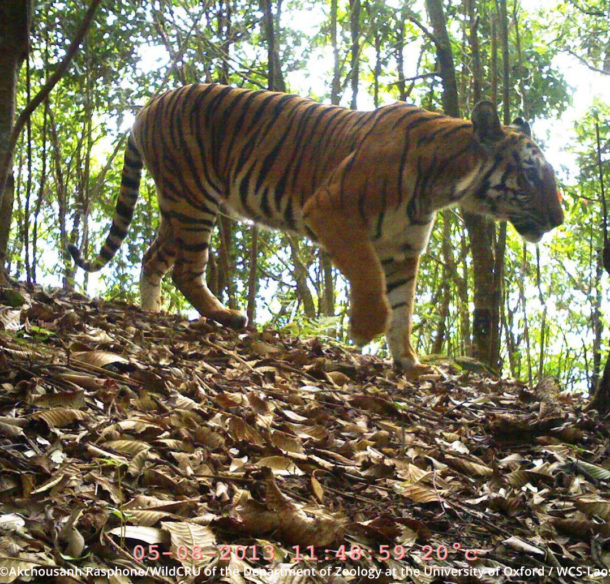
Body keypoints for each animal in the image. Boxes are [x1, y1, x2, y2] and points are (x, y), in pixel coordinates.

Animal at [67, 82, 560, 374]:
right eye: (531, 174)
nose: (558, 220)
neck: (445, 185)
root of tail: (150, 103)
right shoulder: (331, 211)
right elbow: (370, 278)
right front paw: (363, 328)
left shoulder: (404, 249)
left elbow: (404, 308)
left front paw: (409, 362)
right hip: (193, 202)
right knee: (187, 270)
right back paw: (226, 316)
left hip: (179, 207)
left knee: (153, 257)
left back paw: (152, 311)